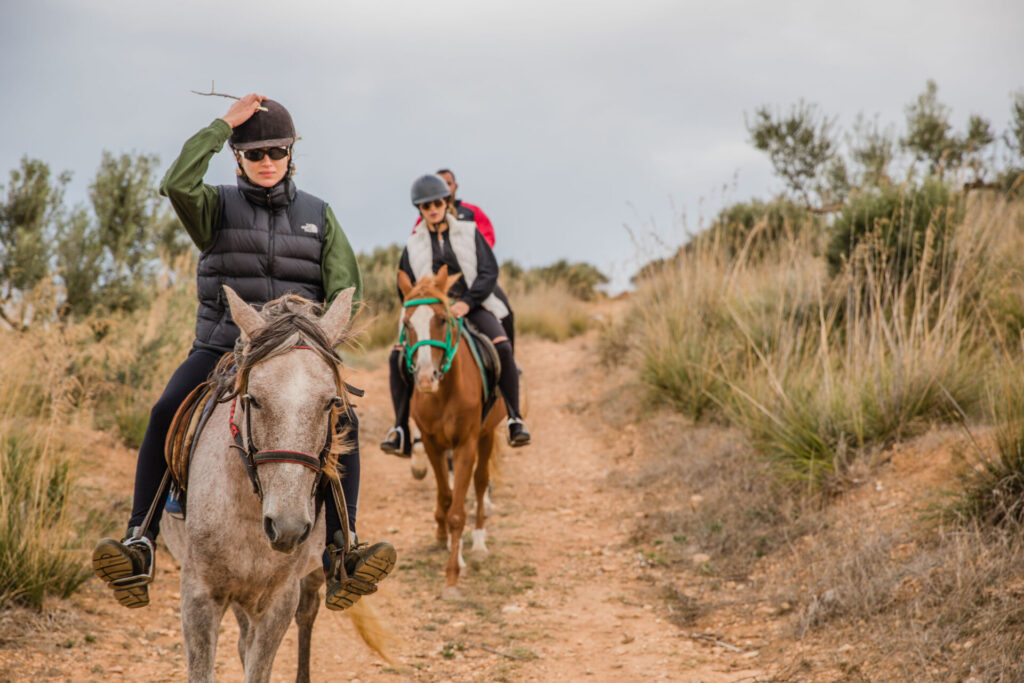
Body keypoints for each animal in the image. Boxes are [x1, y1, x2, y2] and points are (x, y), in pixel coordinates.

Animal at [163, 286, 360, 679]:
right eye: (252, 399)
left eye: (331, 402)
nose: (287, 527)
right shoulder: (198, 597)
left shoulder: (278, 601)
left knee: (307, 615)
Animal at [395, 266, 503, 598]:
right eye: (407, 323)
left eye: (442, 319)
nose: (425, 379)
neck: (443, 393)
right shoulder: (433, 443)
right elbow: (445, 497)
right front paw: (441, 536)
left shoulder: (466, 443)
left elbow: (458, 512)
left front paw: (453, 577)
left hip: (487, 435)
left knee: (480, 483)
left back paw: (478, 543)